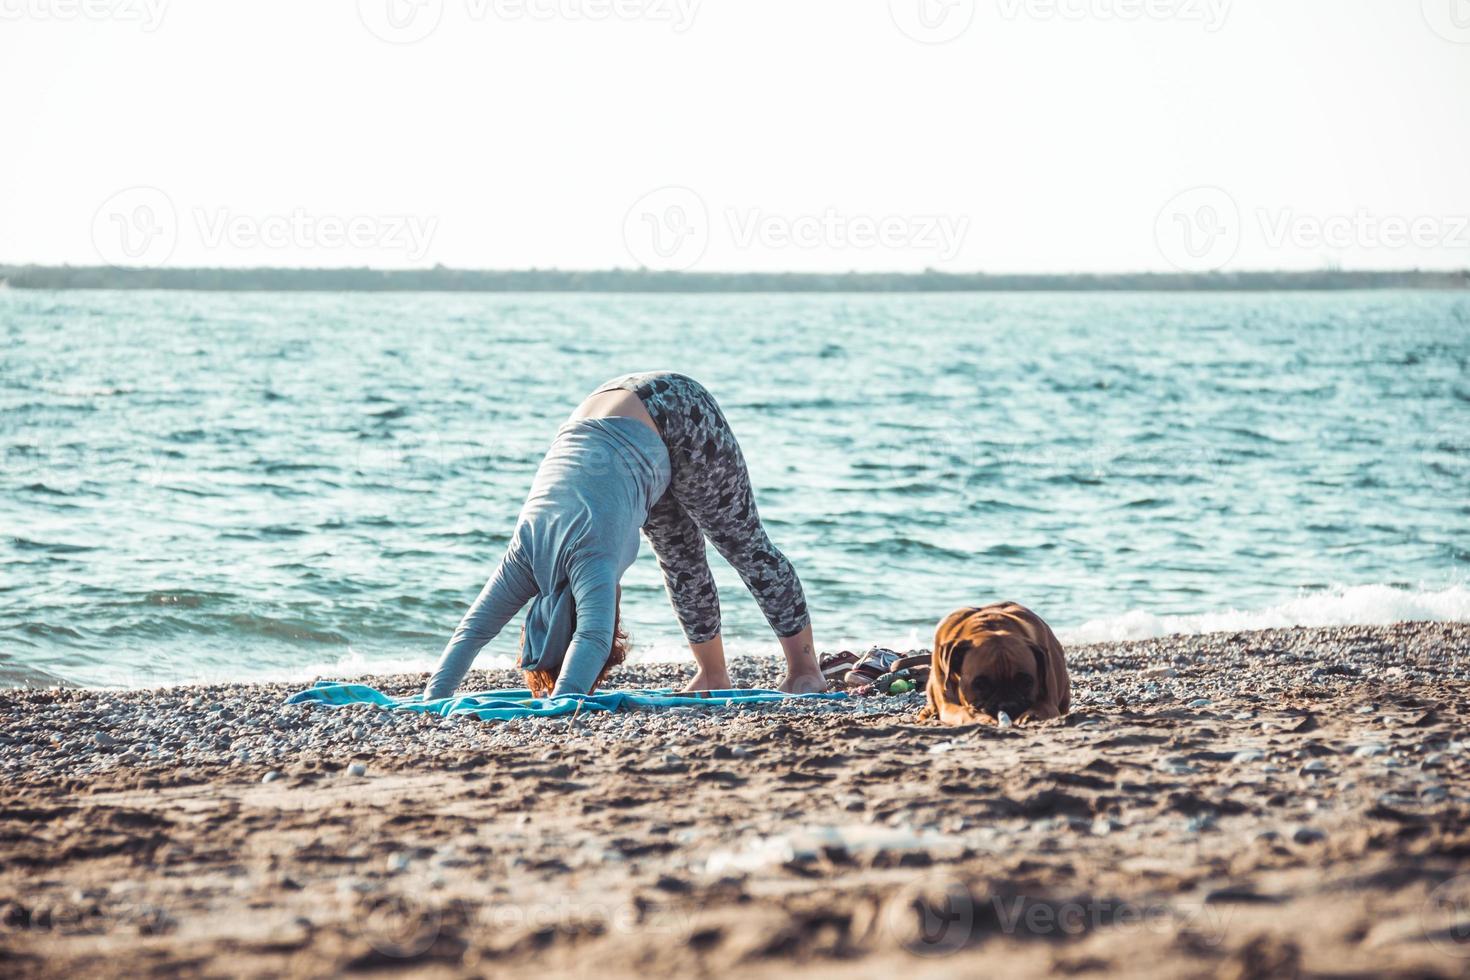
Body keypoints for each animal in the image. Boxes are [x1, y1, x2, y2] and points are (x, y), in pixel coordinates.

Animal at [917, 599, 1070, 728]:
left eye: (1027, 682)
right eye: (980, 684)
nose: (1008, 705)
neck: (990, 626)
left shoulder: (1048, 704)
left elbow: (1039, 708)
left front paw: (1030, 716)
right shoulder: (948, 706)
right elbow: (964, 712)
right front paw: (981, 718)